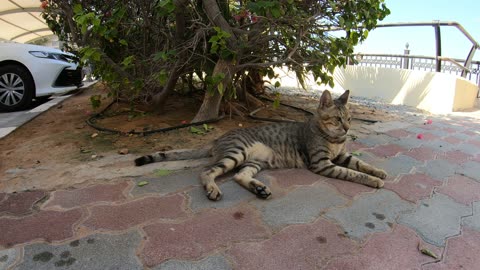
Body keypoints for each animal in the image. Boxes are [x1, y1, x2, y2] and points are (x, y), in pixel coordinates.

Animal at [134, 90, 386, 200]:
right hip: (236, 153)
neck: (334, 140)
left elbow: (361, 164)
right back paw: (213, 189)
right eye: (337, 119)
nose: (348, 129)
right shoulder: (322, 163)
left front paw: (380, 172)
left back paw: (260, 189)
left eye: (350, 118)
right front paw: (374, 181)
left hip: (254, 162)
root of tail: (216, 139)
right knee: (207, 172)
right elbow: (352, 173)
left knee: (239, 176)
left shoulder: (341, 156)